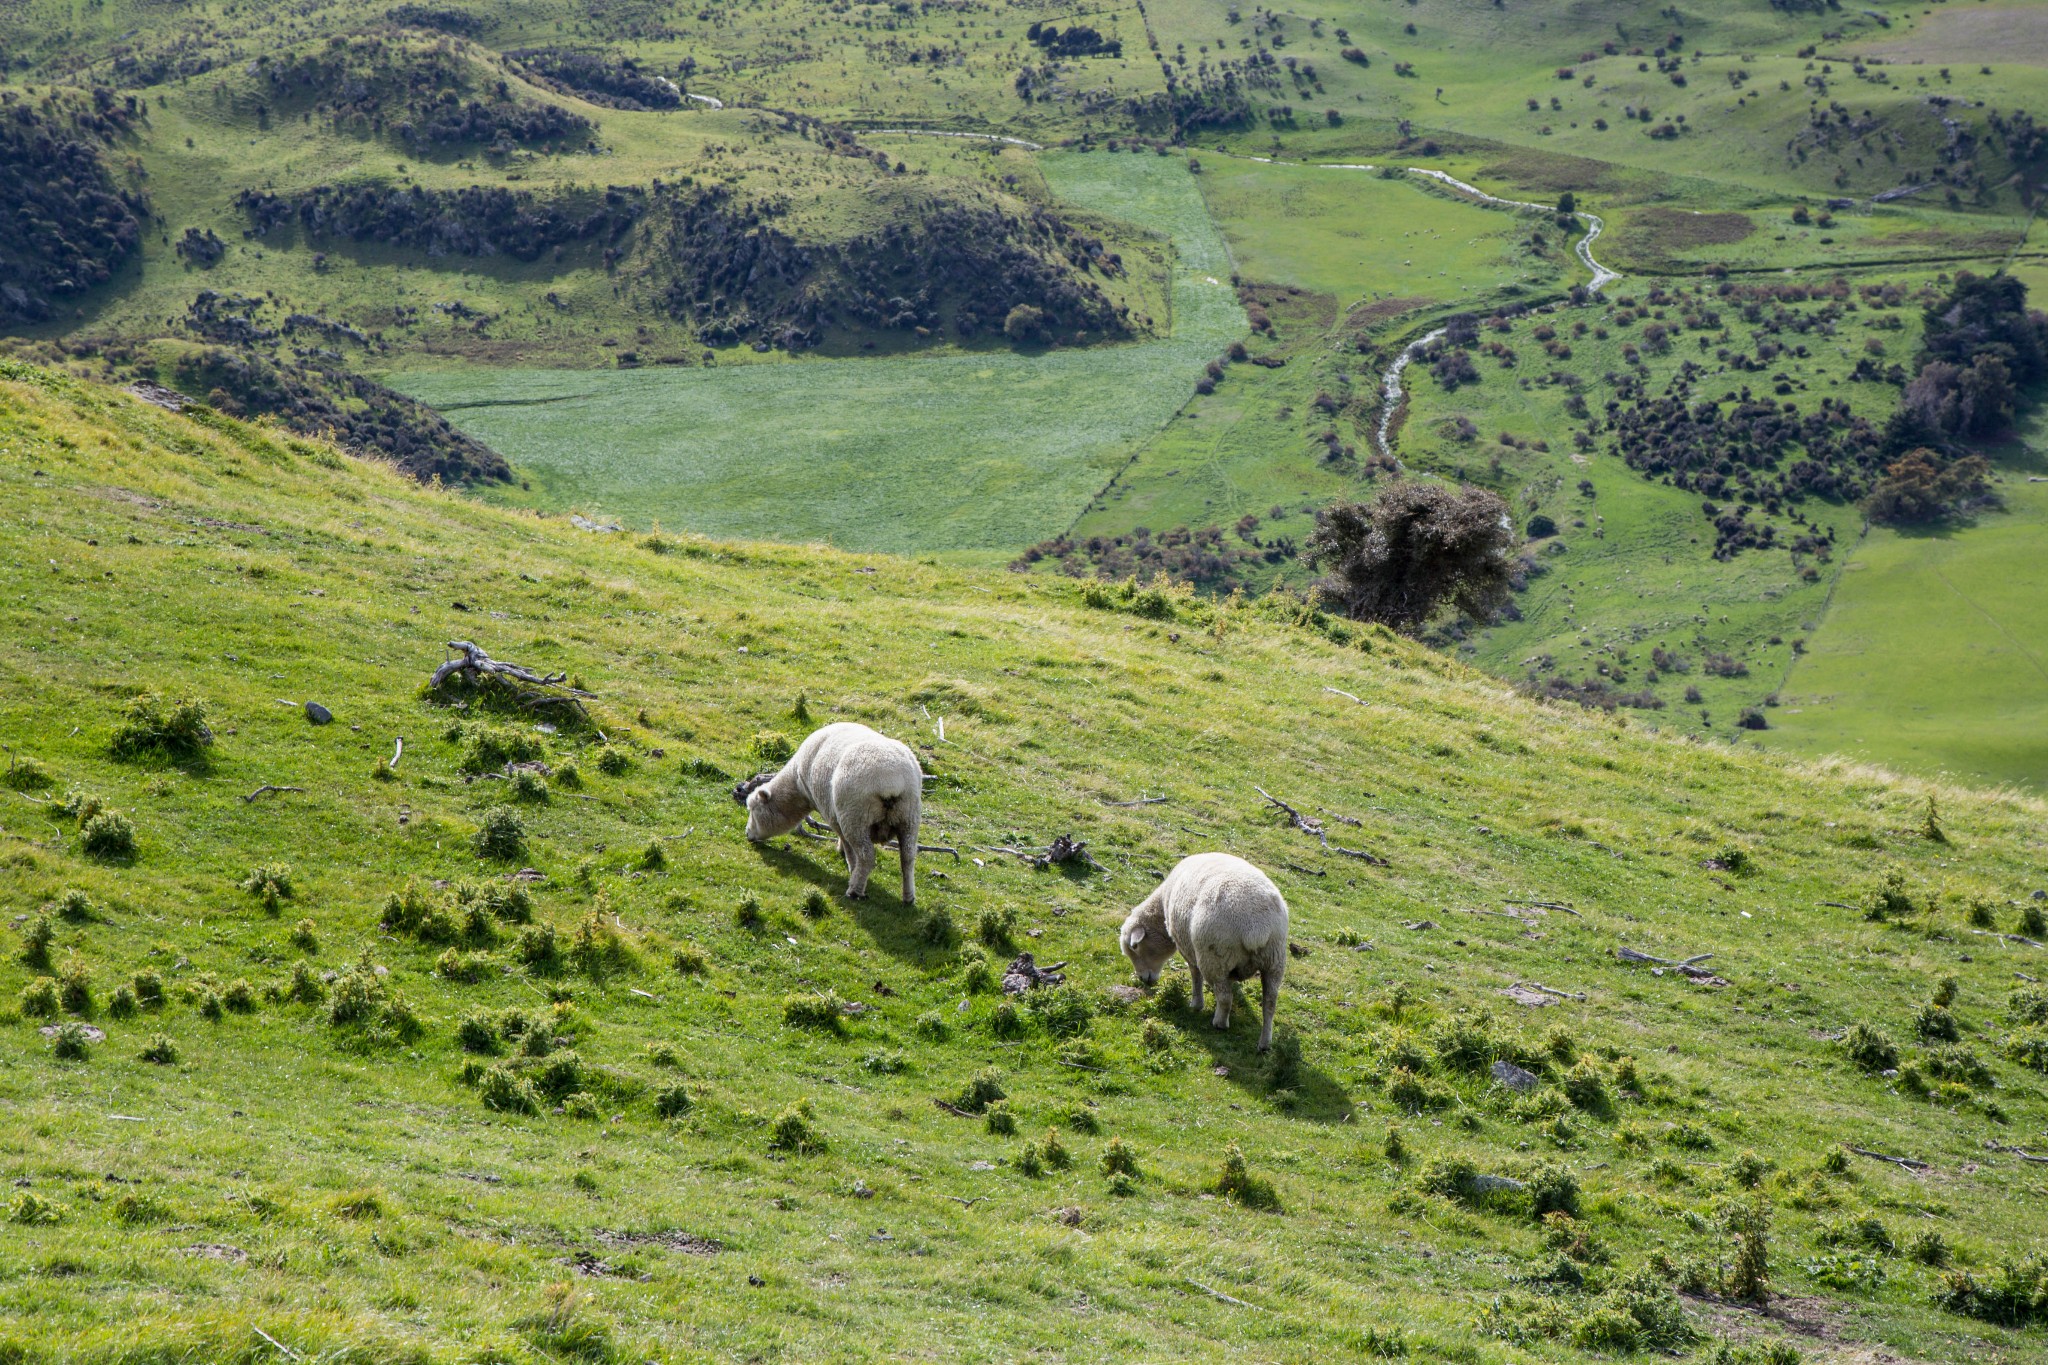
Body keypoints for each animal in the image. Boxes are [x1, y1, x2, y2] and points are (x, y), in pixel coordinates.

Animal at [733, 724, 925, 908]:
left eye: (753, 809)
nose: (747, 833)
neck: (798, 785)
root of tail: (892, 782)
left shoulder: (834, 814)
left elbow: (847, 845)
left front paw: (850, 865)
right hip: (909, 816)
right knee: (908, 857)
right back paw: (909, 897)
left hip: (855, 816)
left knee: (866, 855)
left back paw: (855, 890)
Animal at [1114, 855, 1286, 1055]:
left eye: (1135, 948)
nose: (1143, 980)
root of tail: (1257, 926)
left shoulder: (1187, 945)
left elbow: (1195, 974)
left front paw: (1196, 1004)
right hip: (1274, 960)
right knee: (1270, 1004)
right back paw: (1264, 1043)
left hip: (1214, 956)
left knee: (1225, 997)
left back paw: (1219, 1023)